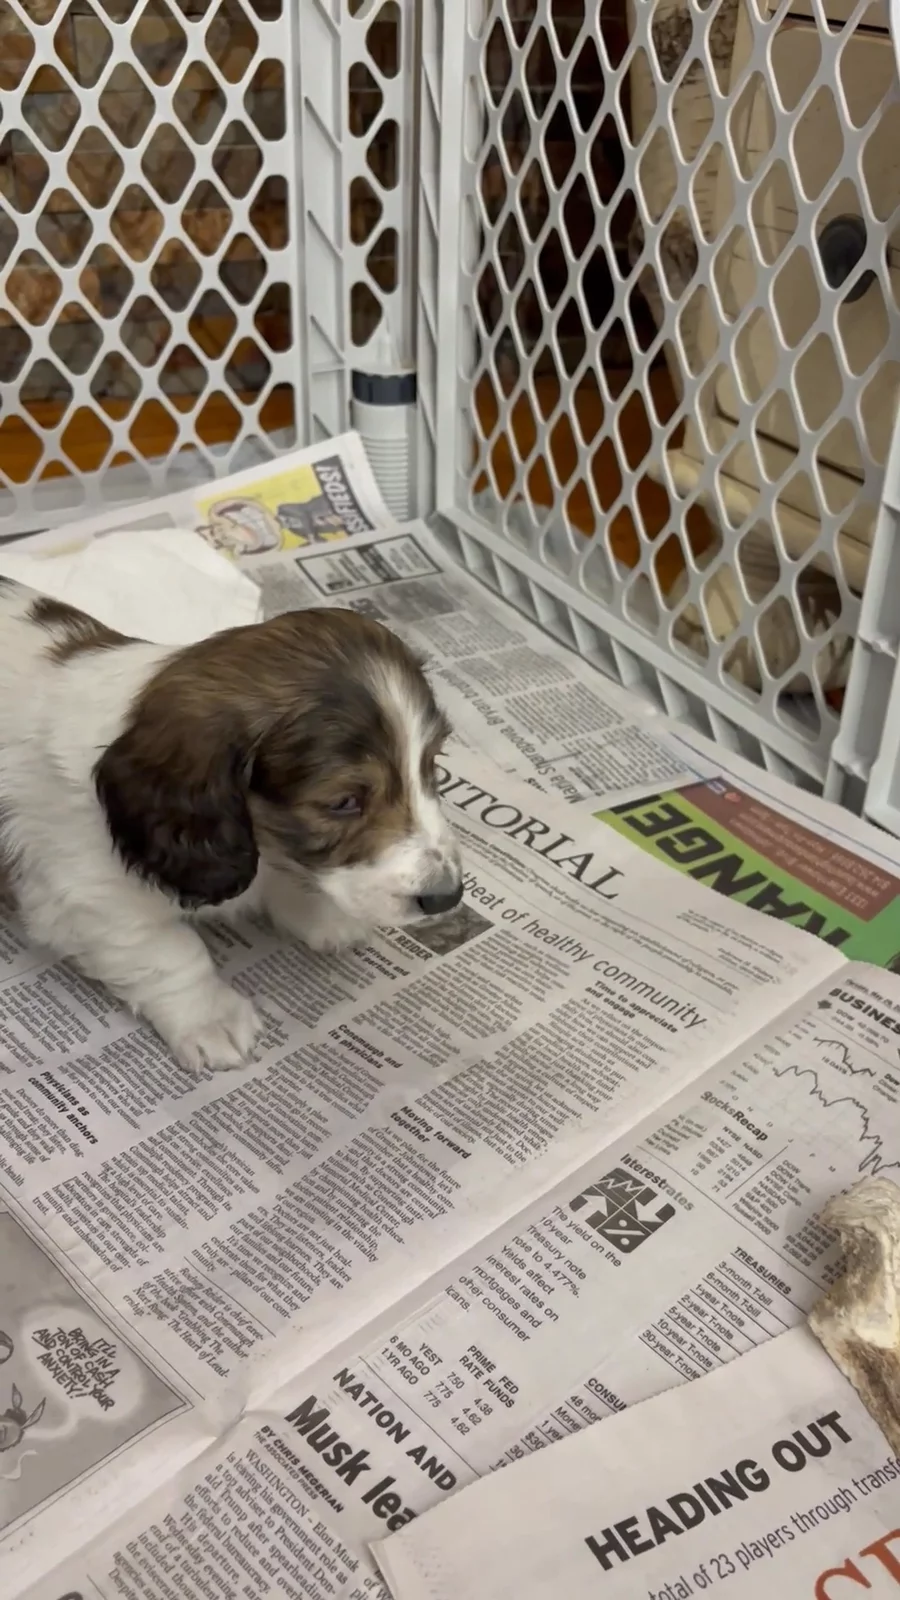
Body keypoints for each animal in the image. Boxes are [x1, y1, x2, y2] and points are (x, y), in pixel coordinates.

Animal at [0, 580, 462, 1074]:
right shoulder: (91, 898)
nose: (447, 898)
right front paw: (210, 1018)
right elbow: (171, 954)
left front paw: (323, 914)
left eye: (432, 766)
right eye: (342, 802)